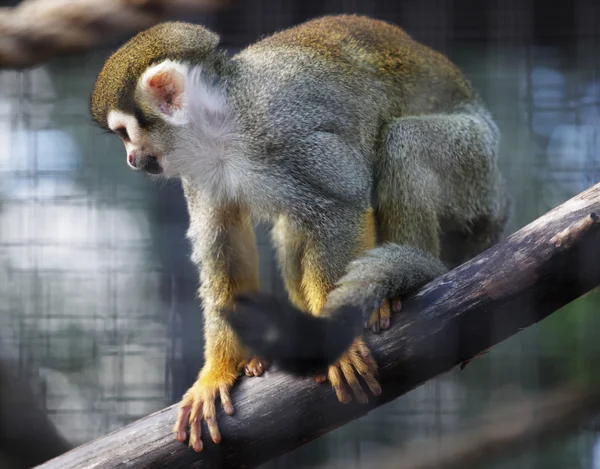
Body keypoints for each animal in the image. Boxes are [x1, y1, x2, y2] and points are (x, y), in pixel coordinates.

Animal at [91, 16, 508, 452]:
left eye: (125, 133)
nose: (131, 159)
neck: (222, 128)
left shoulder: (285, 128)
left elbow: (341, 200)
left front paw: (334, 342)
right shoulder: (198, 170)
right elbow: (222, 247)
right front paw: (217, 371)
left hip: (474, 165)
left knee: (404, 142)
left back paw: (406, 282)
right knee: (289, 229)